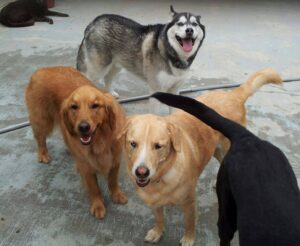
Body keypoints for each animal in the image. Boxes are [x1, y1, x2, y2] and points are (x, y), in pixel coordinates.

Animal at [25, 66, 127, 218]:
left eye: (95, 105)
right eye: (74, 107)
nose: (83, 127)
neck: (100, 141)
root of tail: (42, 70)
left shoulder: (115, 159)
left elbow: (113, 181)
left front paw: (117, 195)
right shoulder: (85, 165)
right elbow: (94, 188)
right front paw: (98, 205)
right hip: (43, 120)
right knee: (40, 138)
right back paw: (43, 154)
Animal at [119, 67, 282, 246]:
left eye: (158, 146)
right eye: (133, 144)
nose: (141, 172)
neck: (162, 177)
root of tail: (233, 94)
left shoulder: (190, 203)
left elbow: (189, 223)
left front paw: (188, 239)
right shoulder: (155, 202)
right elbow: (159, 218)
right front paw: (157, 232)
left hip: (227, 149)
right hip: (216, 151)